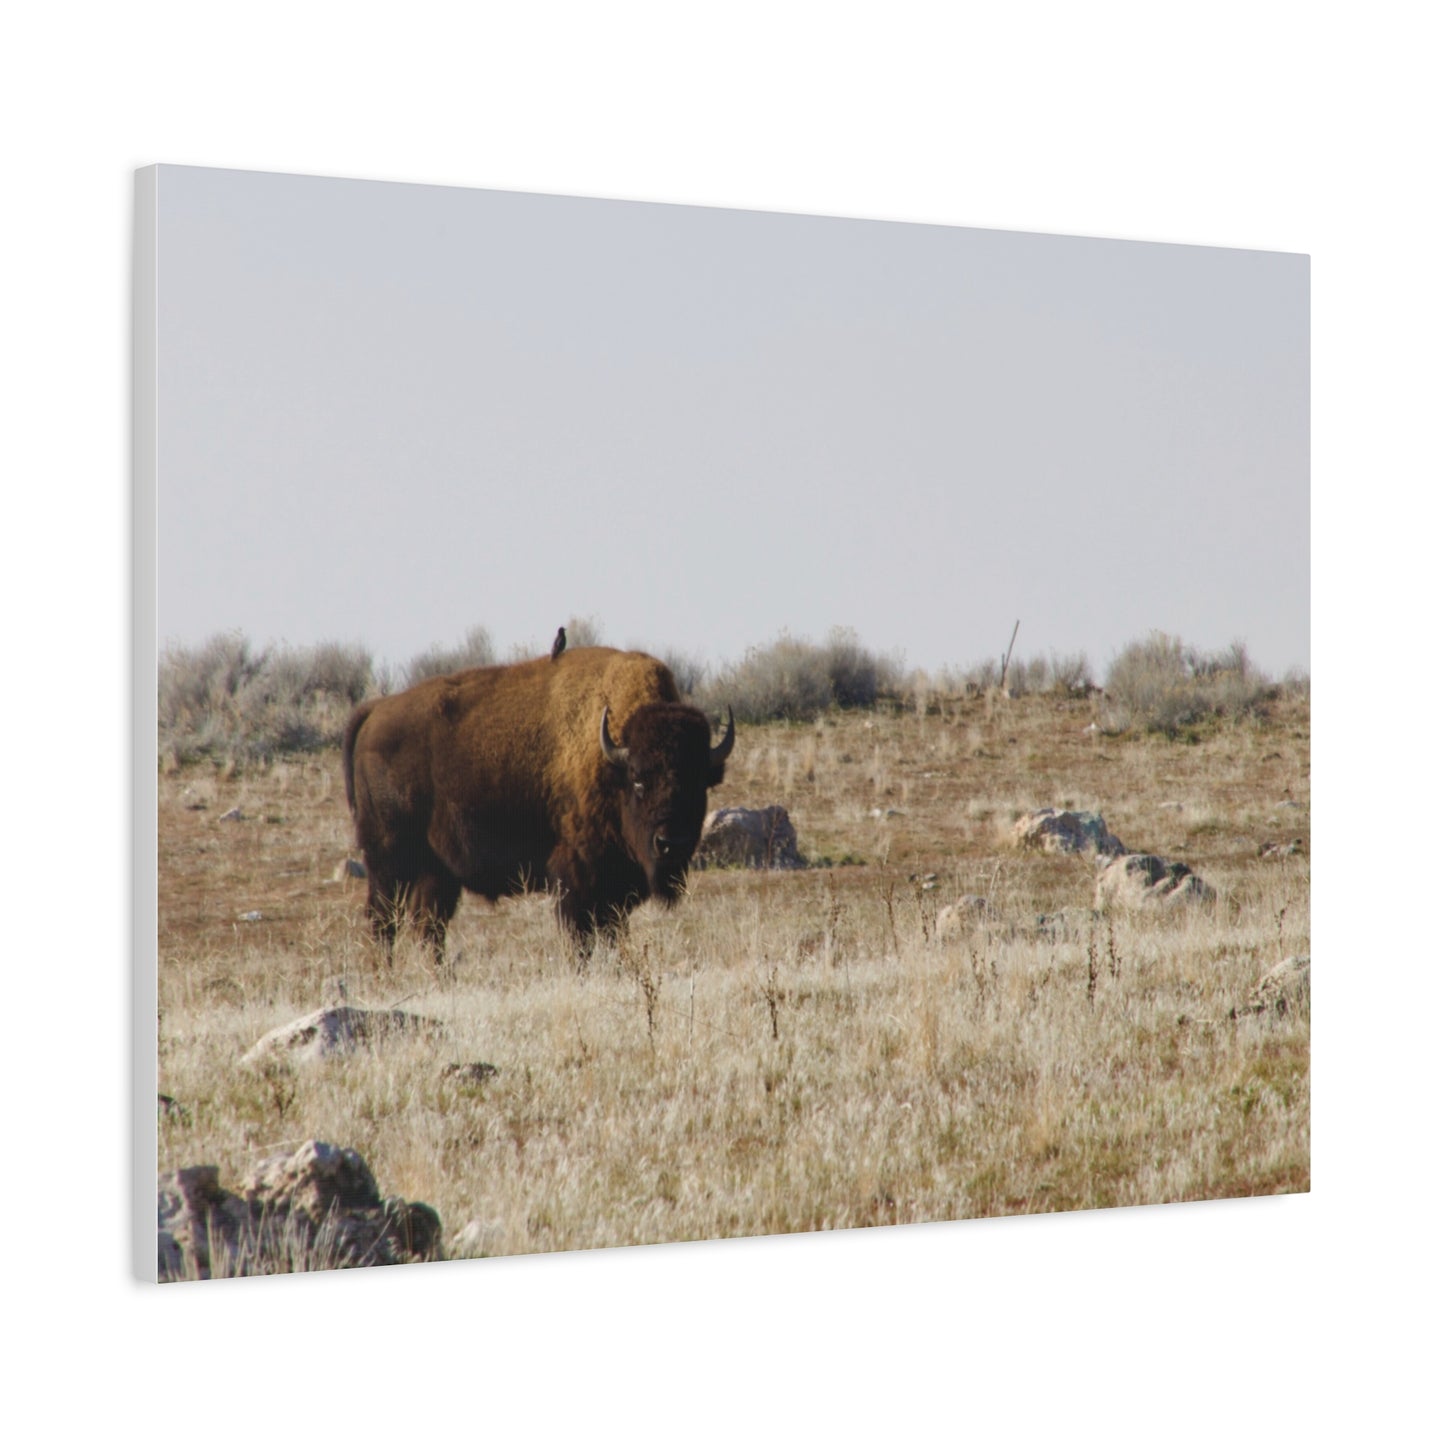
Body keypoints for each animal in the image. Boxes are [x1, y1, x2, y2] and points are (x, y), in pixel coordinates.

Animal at [342, 647, 734, 957]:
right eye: (638, 780)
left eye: (699, 783)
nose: (671, 843)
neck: (610, 761)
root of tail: (375, 711)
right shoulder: (577, 879)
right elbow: (581, 938)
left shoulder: (616, 889)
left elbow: (611, 933)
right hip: (388, 861)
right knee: (384, 921)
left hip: (435, 871)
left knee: (427, 926)